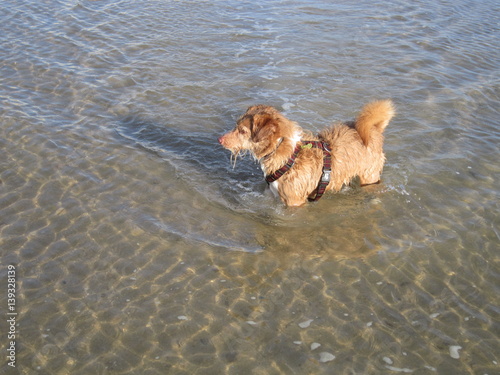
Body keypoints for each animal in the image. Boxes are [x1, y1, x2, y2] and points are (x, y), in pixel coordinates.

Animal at [219, 100, 394, 207]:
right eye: (236, 125)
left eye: (242, 131)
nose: (220, 139)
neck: (288, 154)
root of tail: (373, 129)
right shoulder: (272, 194)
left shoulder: (294, 202)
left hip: (369, 175)